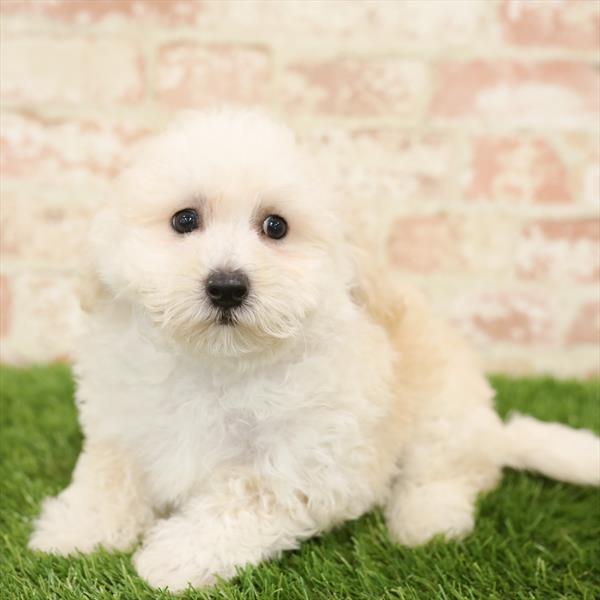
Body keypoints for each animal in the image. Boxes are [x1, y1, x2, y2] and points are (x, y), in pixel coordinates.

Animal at [29, 108, 600, 592]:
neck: (218, 362)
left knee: (451, 473)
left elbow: (244, 496)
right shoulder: (121, 424)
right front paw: (77, 529)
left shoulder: (312, 460)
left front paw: (175, 557)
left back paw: (426, 519)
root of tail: (493, 430)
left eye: (276, 226)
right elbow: (109, 474)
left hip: (444, 414)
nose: (227, 287)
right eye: (184, 220)